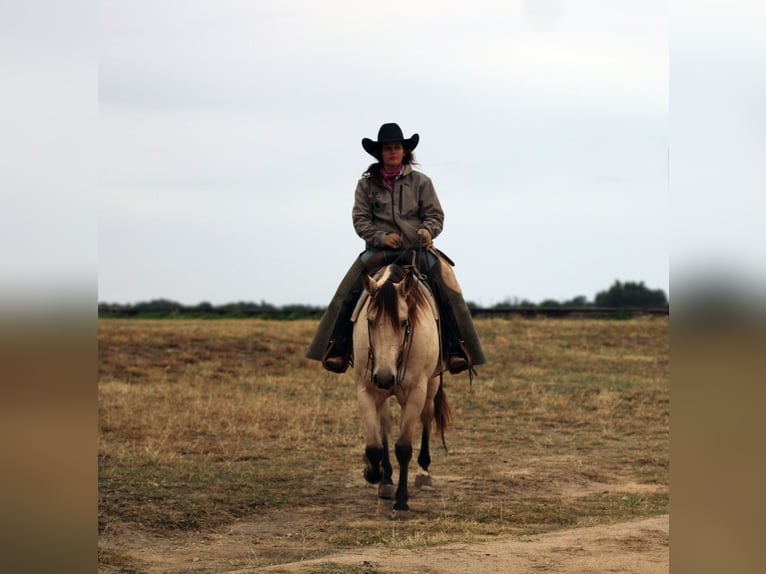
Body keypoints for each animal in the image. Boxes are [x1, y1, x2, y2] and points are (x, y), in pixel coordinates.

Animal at [352, 264, 452, 510]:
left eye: (405, 322)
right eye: (369, 321)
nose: (384, 378)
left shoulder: (416, 391)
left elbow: (404, 447)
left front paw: (401, 500)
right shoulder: (366, 390)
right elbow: (375, 446)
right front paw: (374, 473)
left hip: (431, 385)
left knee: (427, 416)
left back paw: (424, 472)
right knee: (385, 424)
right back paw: (386, 478)